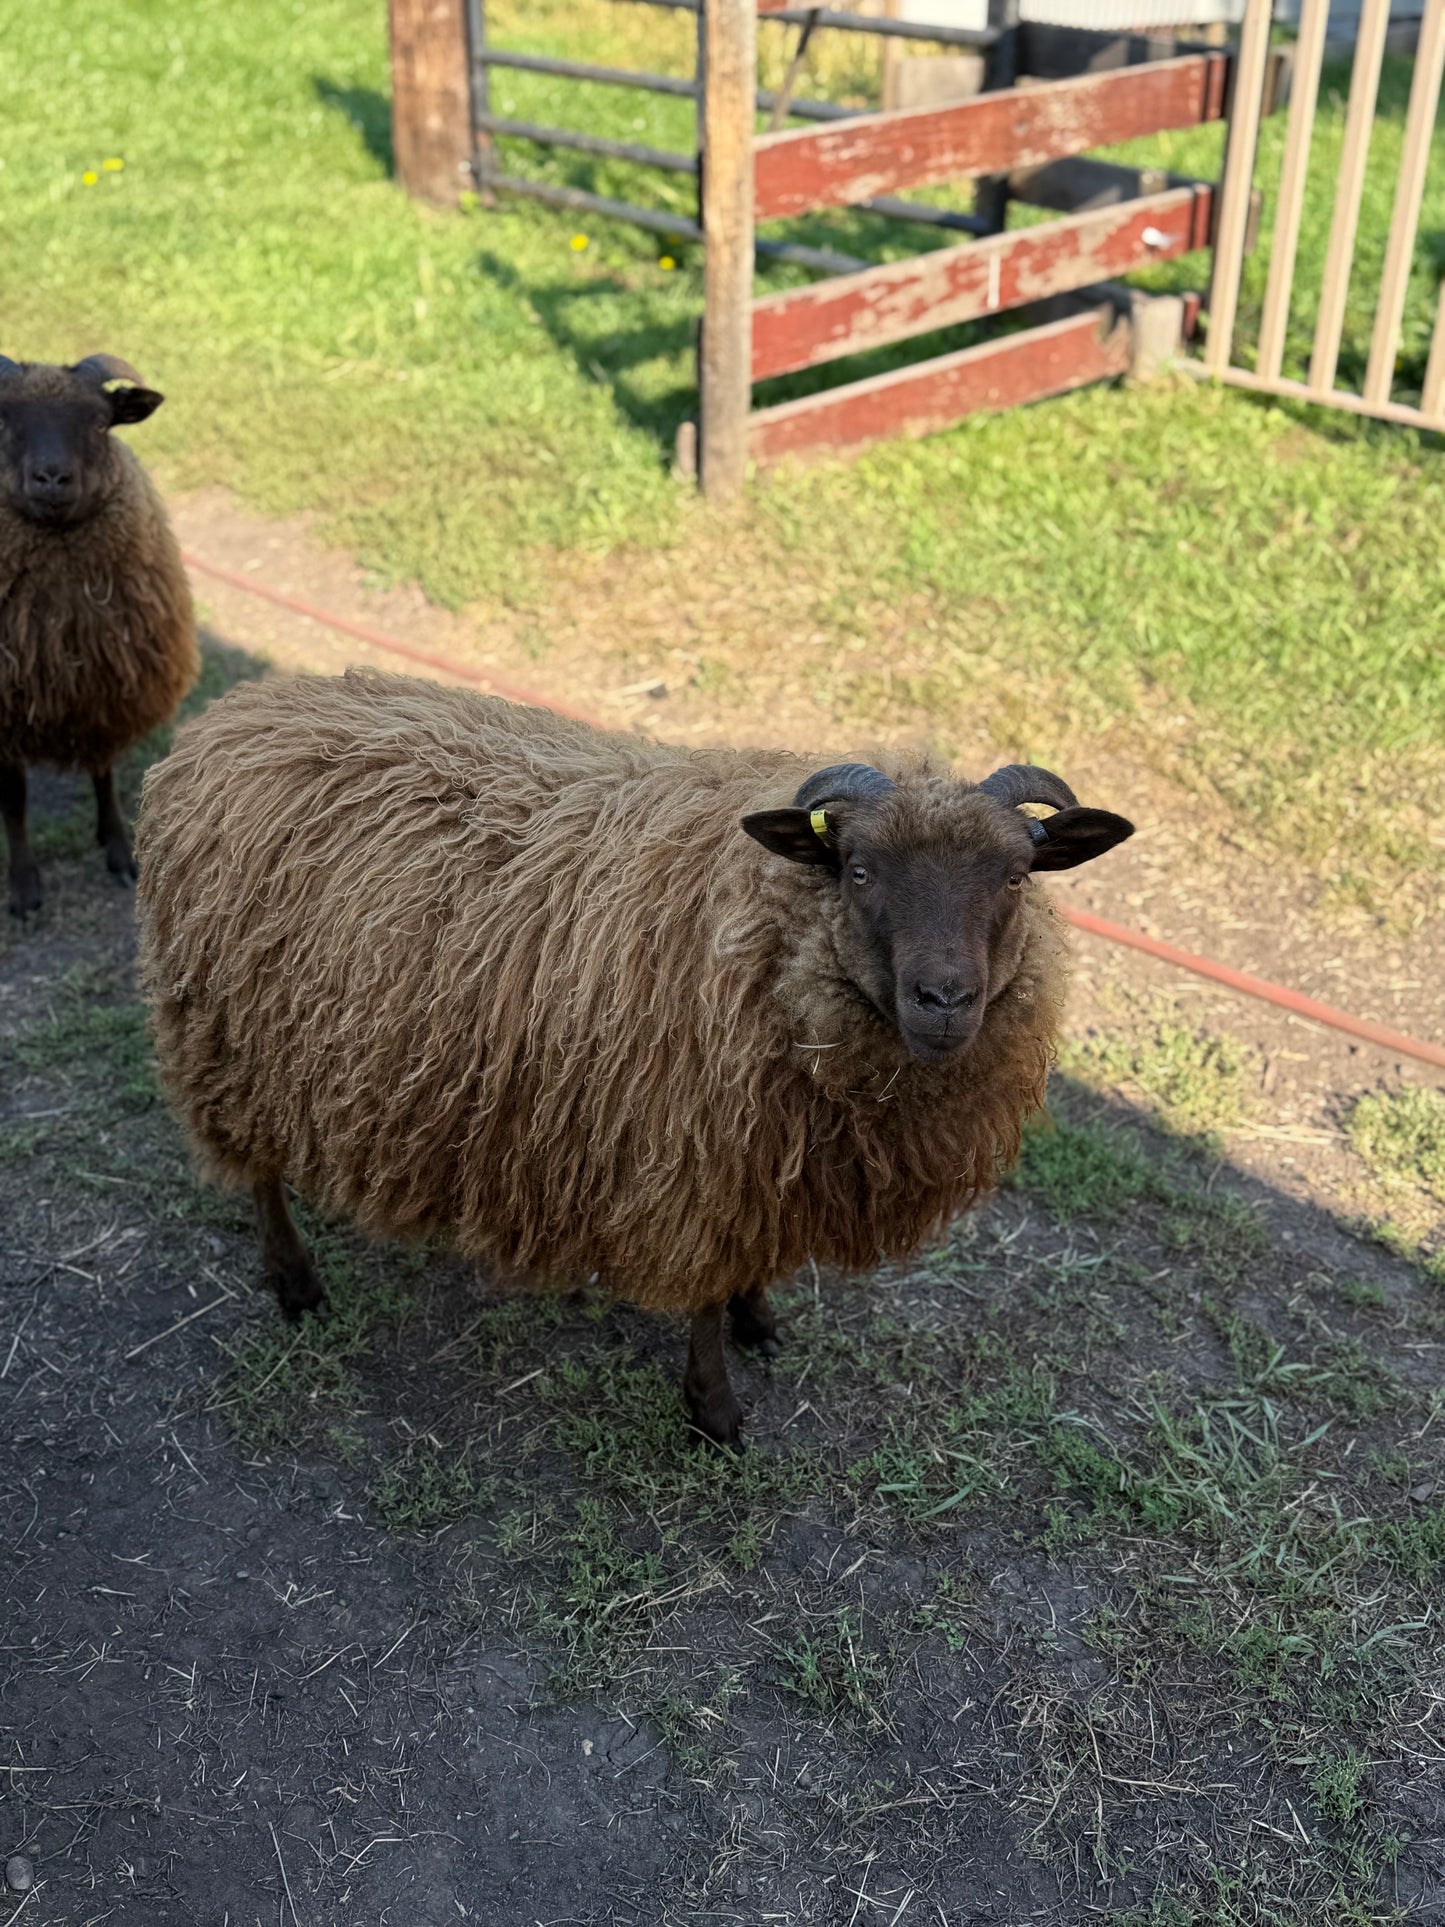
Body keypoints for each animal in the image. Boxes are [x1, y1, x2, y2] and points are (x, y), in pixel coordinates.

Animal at [0, 353, 199, 916]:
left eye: (98, 423)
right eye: (3, 420)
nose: (51, 478)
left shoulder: (105, 692)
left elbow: (103, 773)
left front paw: (117, 848)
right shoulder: (6, 714)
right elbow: (15, 798)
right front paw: (24, 885)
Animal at [135, 670, 1132, 1443]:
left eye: (1015, 877)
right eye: (856, 870)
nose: (945, 1000)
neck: (765, 933)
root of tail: (229, 717)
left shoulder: (772, 1155)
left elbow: (755, 1262)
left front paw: (761, 1319)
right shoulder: (696, 1159)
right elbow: (701, 1299)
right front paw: (715, 1409)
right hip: (226, 1038)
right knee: (257, 1173)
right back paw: (295, 1284)